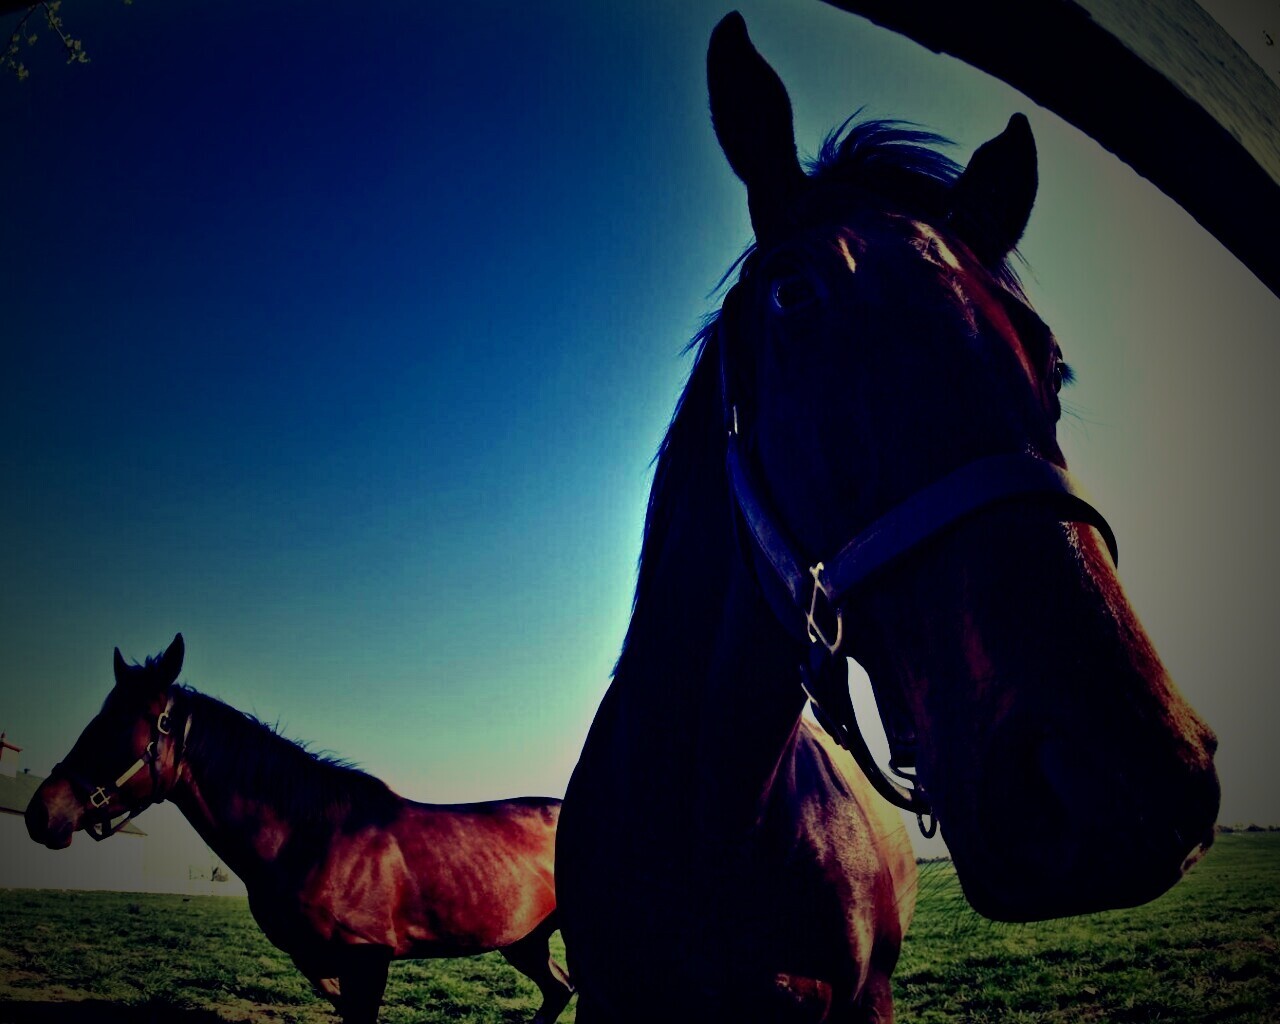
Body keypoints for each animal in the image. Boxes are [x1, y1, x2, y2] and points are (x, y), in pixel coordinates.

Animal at [25, 634, 574, 1024]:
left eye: (122, 726)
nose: (41, 814)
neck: (311, 838)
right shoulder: (318, 961)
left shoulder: (368, 962)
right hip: (523, 940)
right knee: (559, 990)